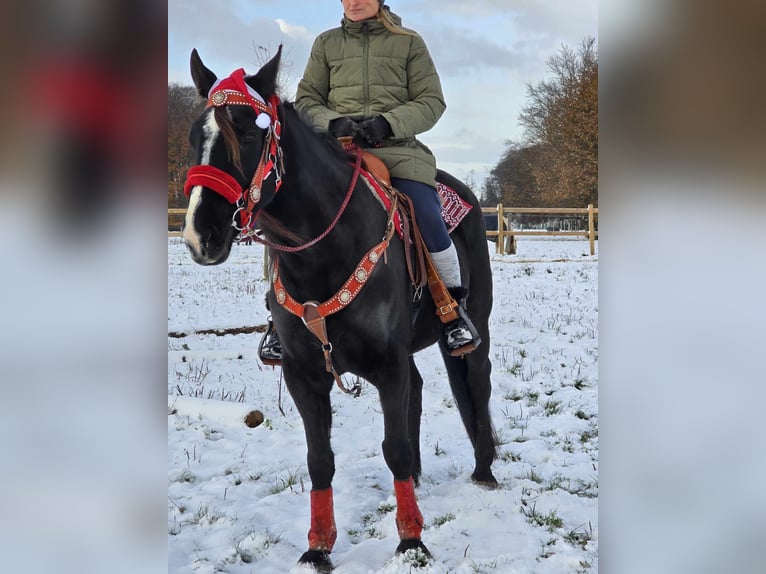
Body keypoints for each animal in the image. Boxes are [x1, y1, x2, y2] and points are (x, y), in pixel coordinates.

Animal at [184, 48, 500, 572]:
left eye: (247, 134)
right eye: (194, 137)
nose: (199, 235)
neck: (325, 251)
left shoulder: (387, 364)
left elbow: (393, 446)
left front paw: (410, 541)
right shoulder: (303, 373)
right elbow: (320, 460)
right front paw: (318, 547)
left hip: (474, 333)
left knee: (476, 385)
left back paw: (484, 471)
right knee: (418, 393)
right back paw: (417, 479)